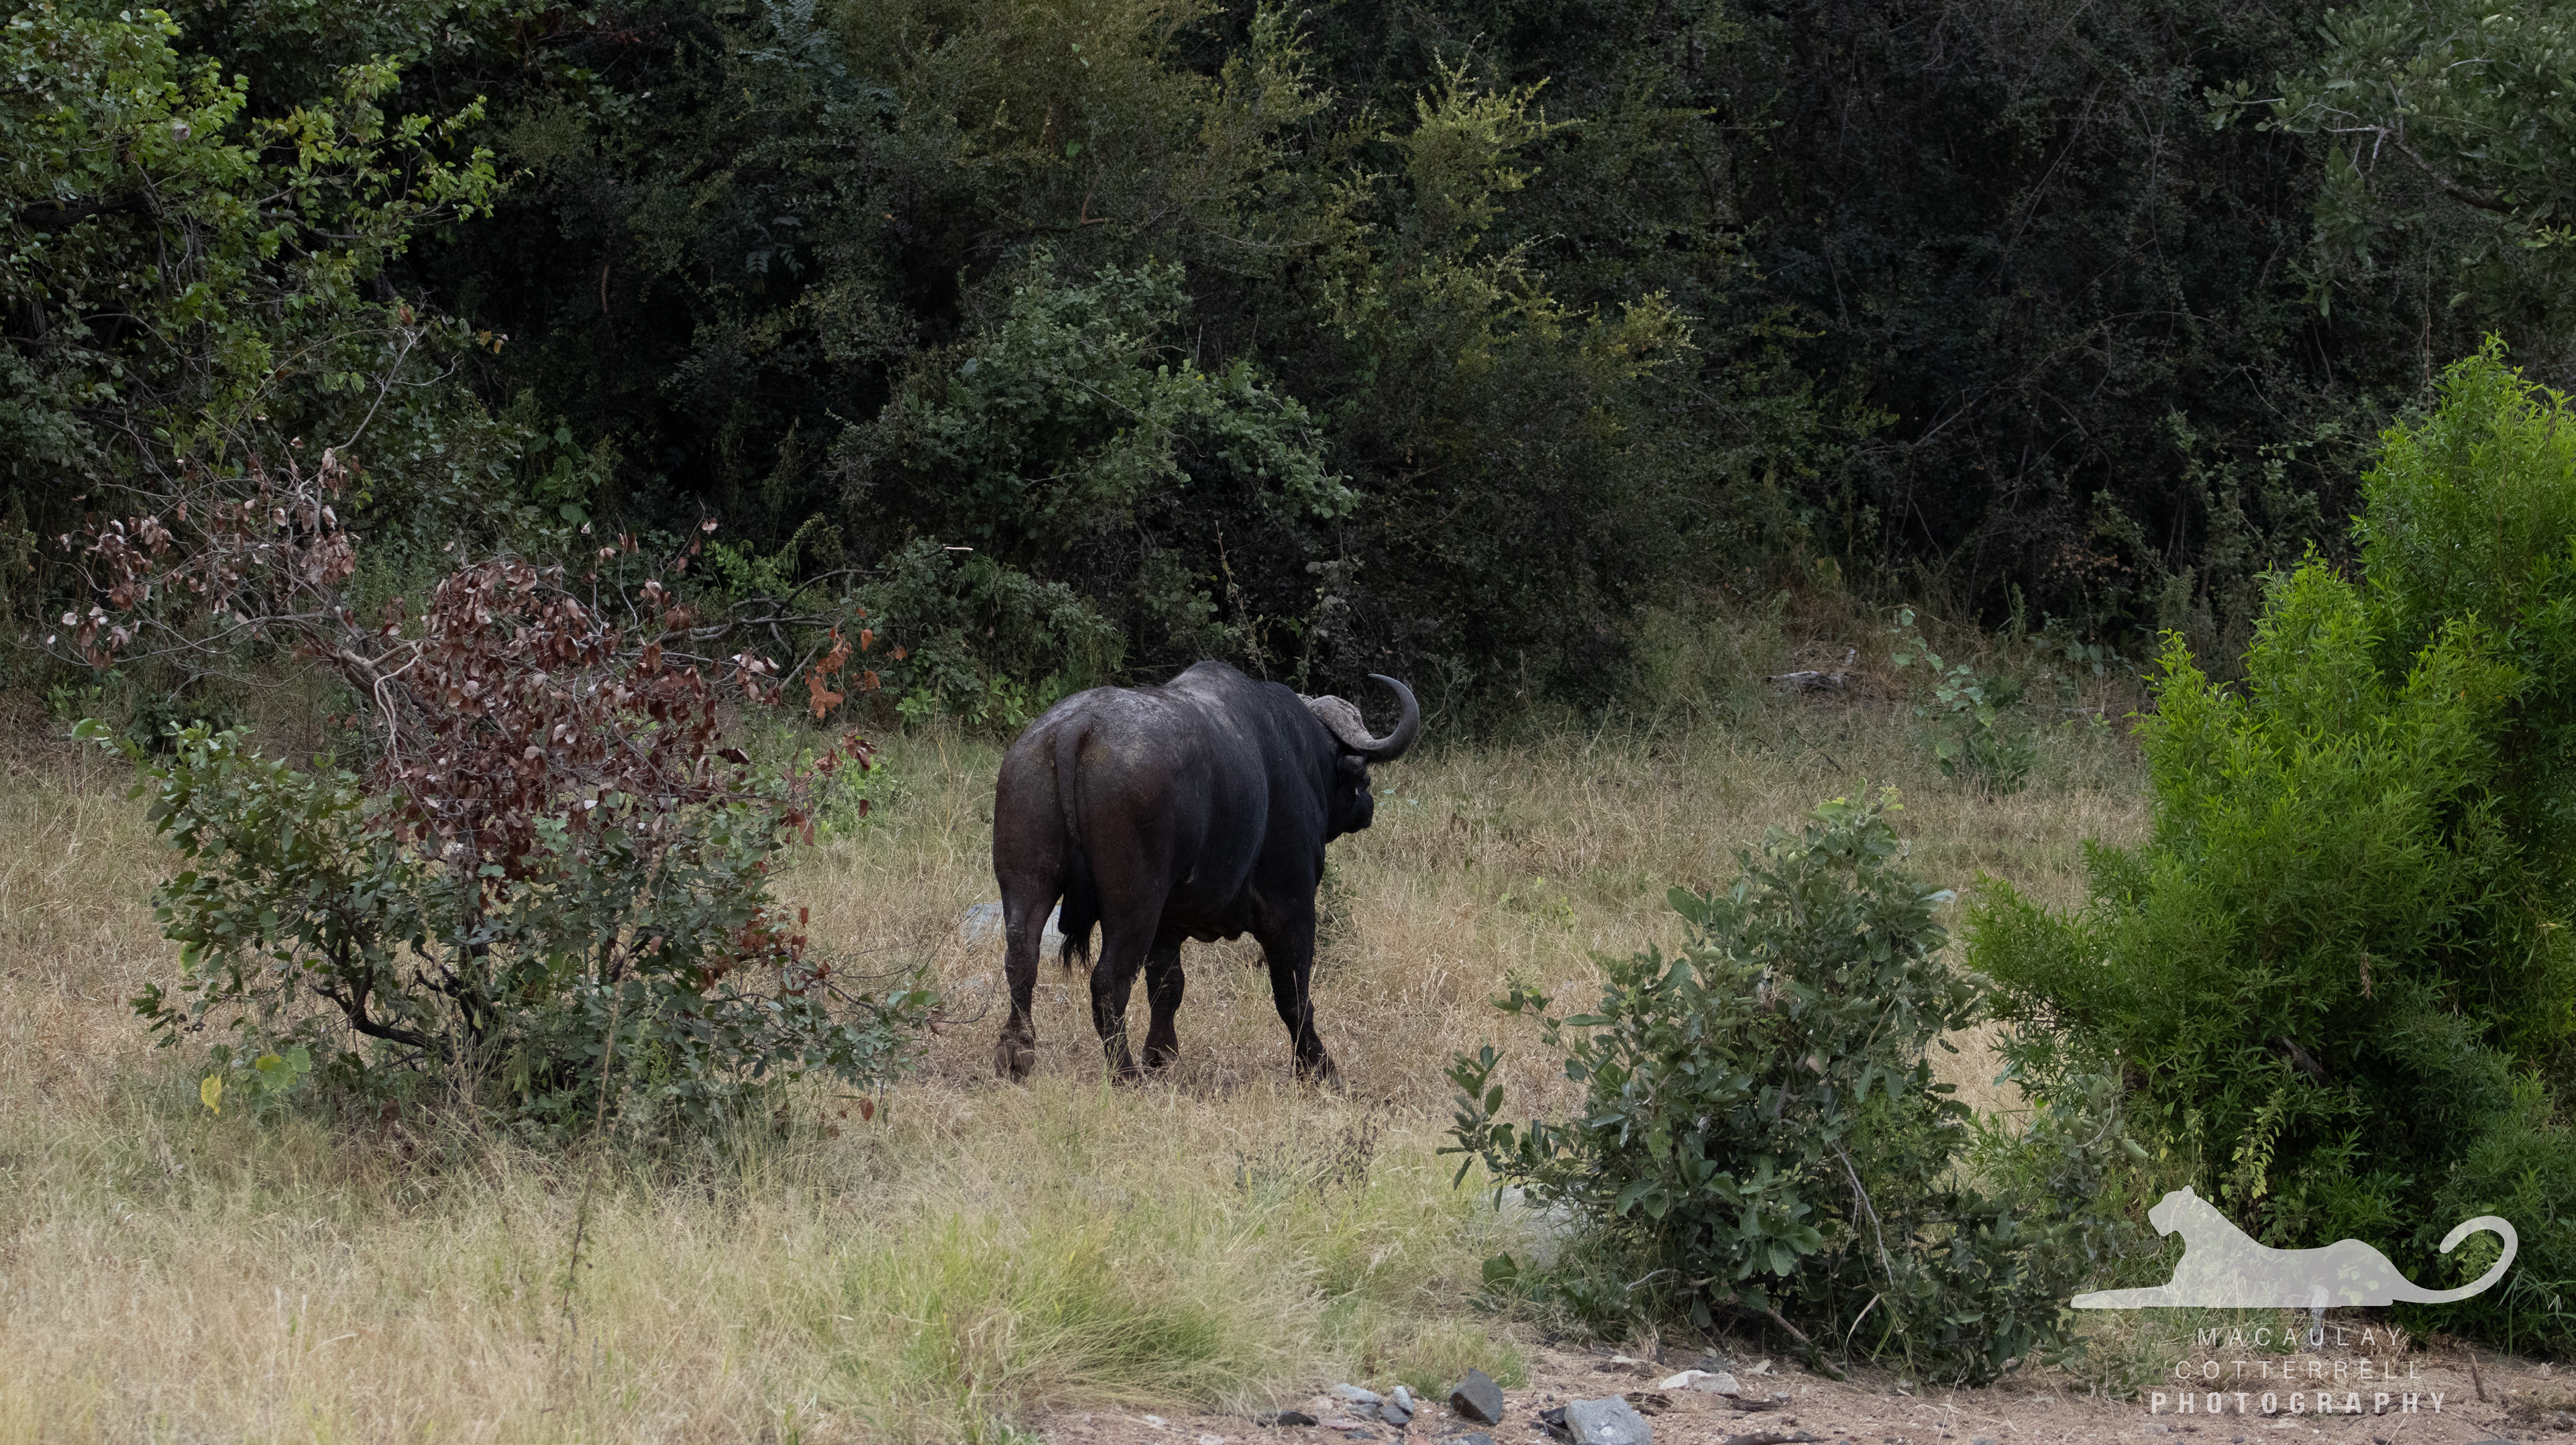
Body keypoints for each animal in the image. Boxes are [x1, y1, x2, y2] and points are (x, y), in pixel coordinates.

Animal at [990, 661, 1420, 1083]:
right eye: (1363, 775)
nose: (1368, 805)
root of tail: (1076, 727)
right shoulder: (1292, 908)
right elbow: (1293, 993)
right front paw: (1316, 1067)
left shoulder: (1169, 923)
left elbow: (1167, 985)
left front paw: (1161, 1056)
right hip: (1134, 905)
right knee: (1109, 981)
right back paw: (1124, 1071)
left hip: (1027, 881)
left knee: (1022, 959)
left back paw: (1016, 1053)